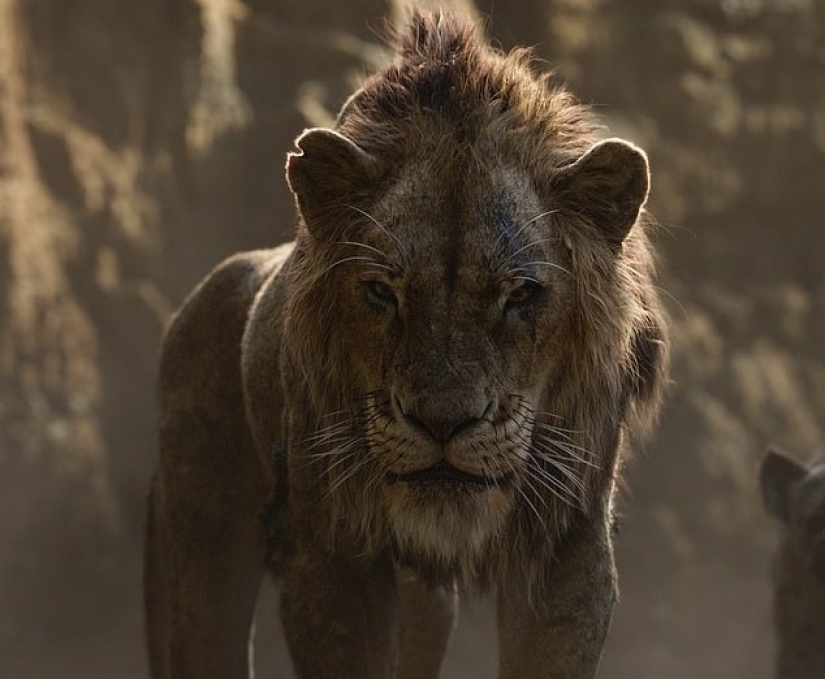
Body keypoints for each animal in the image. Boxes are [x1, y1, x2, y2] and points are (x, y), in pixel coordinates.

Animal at [145, 10, 668, 679]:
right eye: (382, 292)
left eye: (520, 294)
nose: (442, 423)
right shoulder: (332, 551)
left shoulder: (568, 543)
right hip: (204, 545)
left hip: (425, 603)